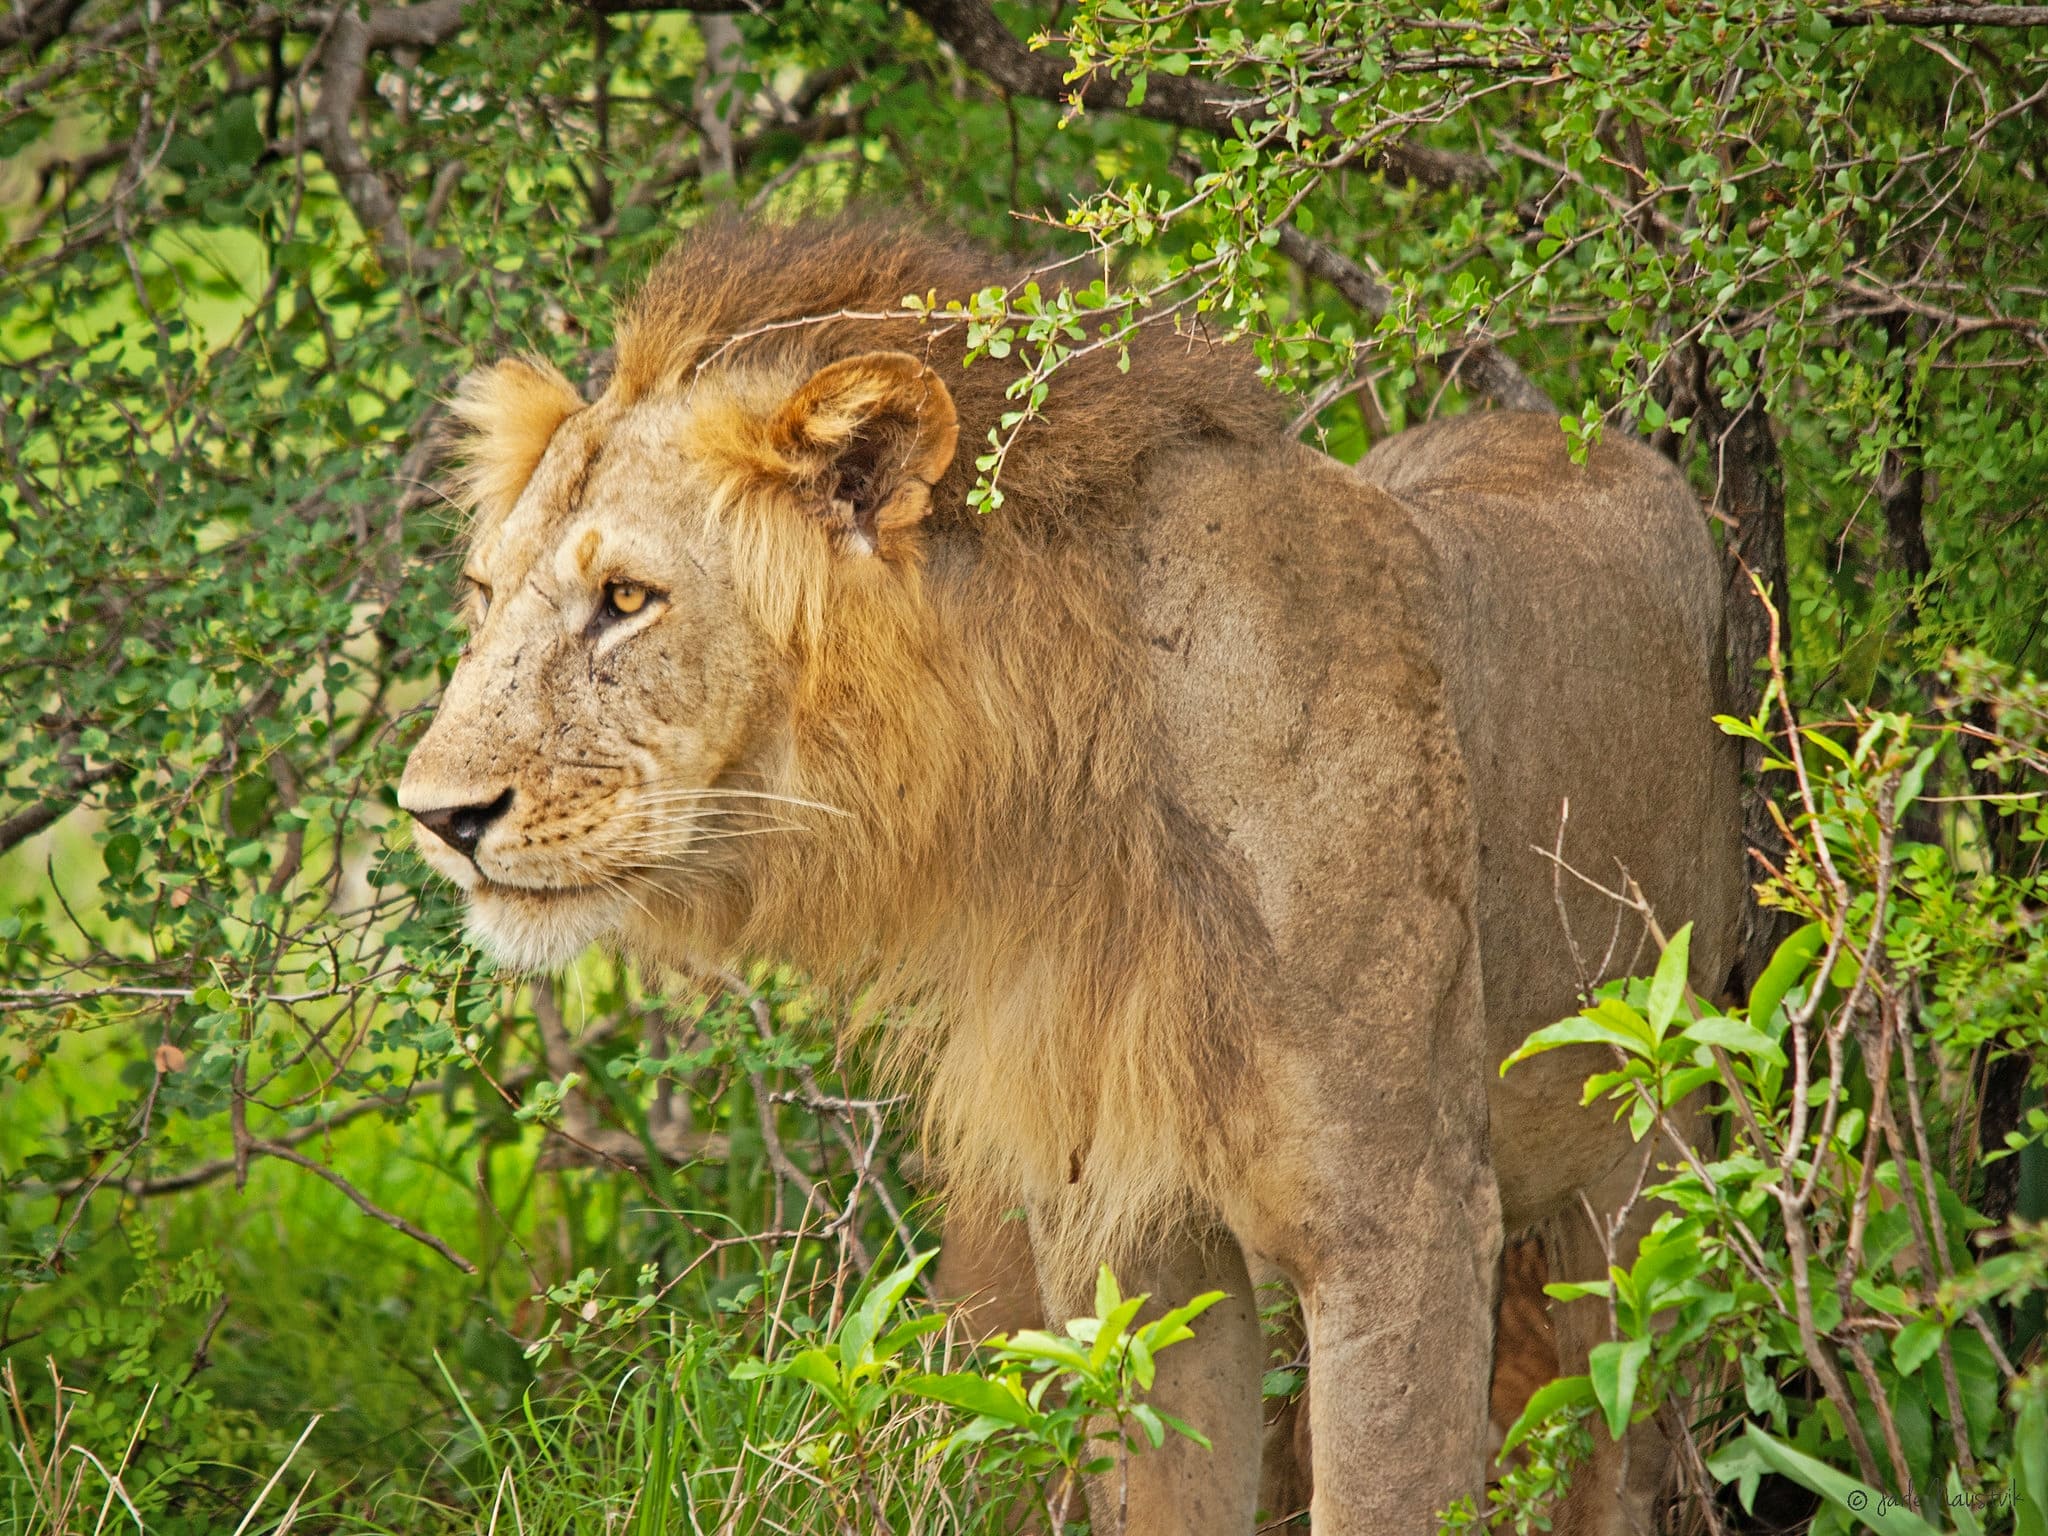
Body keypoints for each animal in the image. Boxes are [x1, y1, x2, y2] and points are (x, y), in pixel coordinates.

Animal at [399, 217, 1744, 1536]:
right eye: (481, 593)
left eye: (626, 599)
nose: (434, 816)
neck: (1071, 798)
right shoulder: (1126, 1232)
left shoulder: (1401, 1219)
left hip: (1648, 1166)